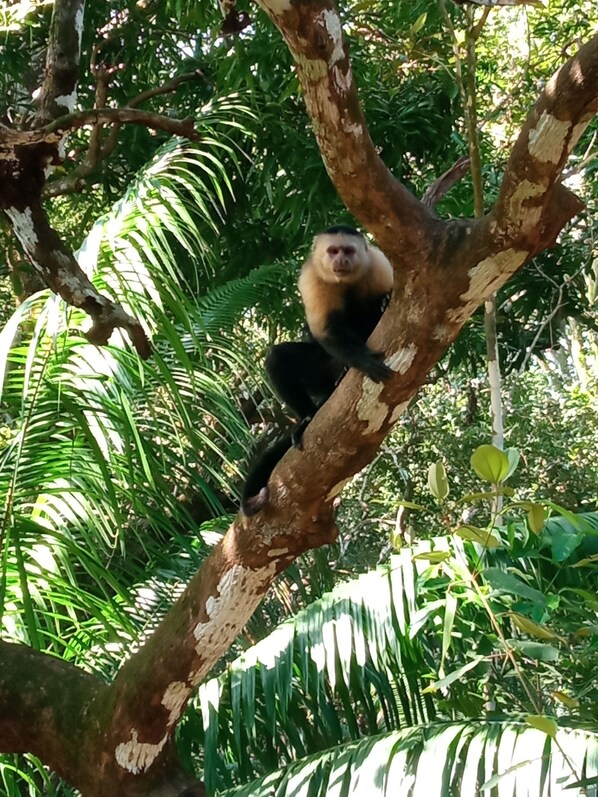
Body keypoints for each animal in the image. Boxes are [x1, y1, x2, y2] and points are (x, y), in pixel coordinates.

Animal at [241, 225, 393, 516]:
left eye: (348, 251)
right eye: (333, 251)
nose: (340, 260)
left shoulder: (378, 263)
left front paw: (384, 303)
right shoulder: (312, 277)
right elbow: (325, 329)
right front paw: (362, 359)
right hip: (322, 370)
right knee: (277, 359)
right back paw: (309, 416)